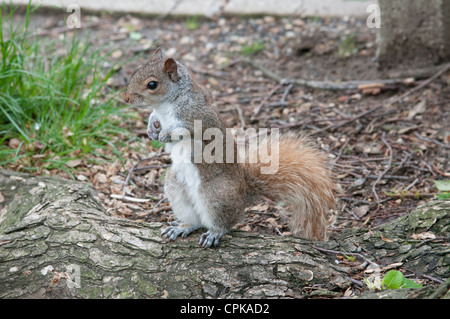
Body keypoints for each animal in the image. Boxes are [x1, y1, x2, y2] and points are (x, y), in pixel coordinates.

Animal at [123, 48, 338, 248]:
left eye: (152, 84)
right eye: (136, 71)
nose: (125, 99)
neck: (167, 104)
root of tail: (243, 194)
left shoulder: (200, 117)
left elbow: (189, 130)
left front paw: (165, 134)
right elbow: (153, 117)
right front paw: (151, 128)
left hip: (217, 196)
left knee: (224, 223)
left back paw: (214, 233)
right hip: (177, 188)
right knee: (196, 221)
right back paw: (183, 227)